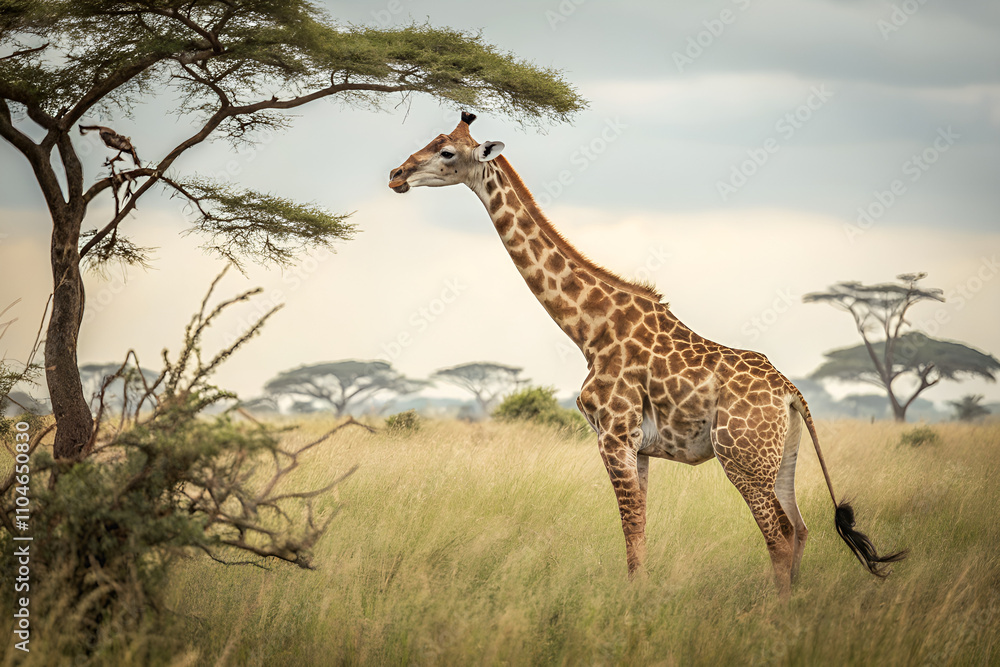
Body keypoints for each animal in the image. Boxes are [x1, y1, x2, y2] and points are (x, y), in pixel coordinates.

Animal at [388, 112, 906, 596]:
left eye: (447, 152)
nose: (396, 174)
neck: (589, 329)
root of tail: (790, 391)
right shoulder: (637, 446)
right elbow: (639, 526)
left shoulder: (613, 435)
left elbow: (630, 524)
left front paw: (634, 602)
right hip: (782, 454)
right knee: (800, 528)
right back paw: (791, 604)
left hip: (741, 456)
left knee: (777, 532)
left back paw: (773, 613)